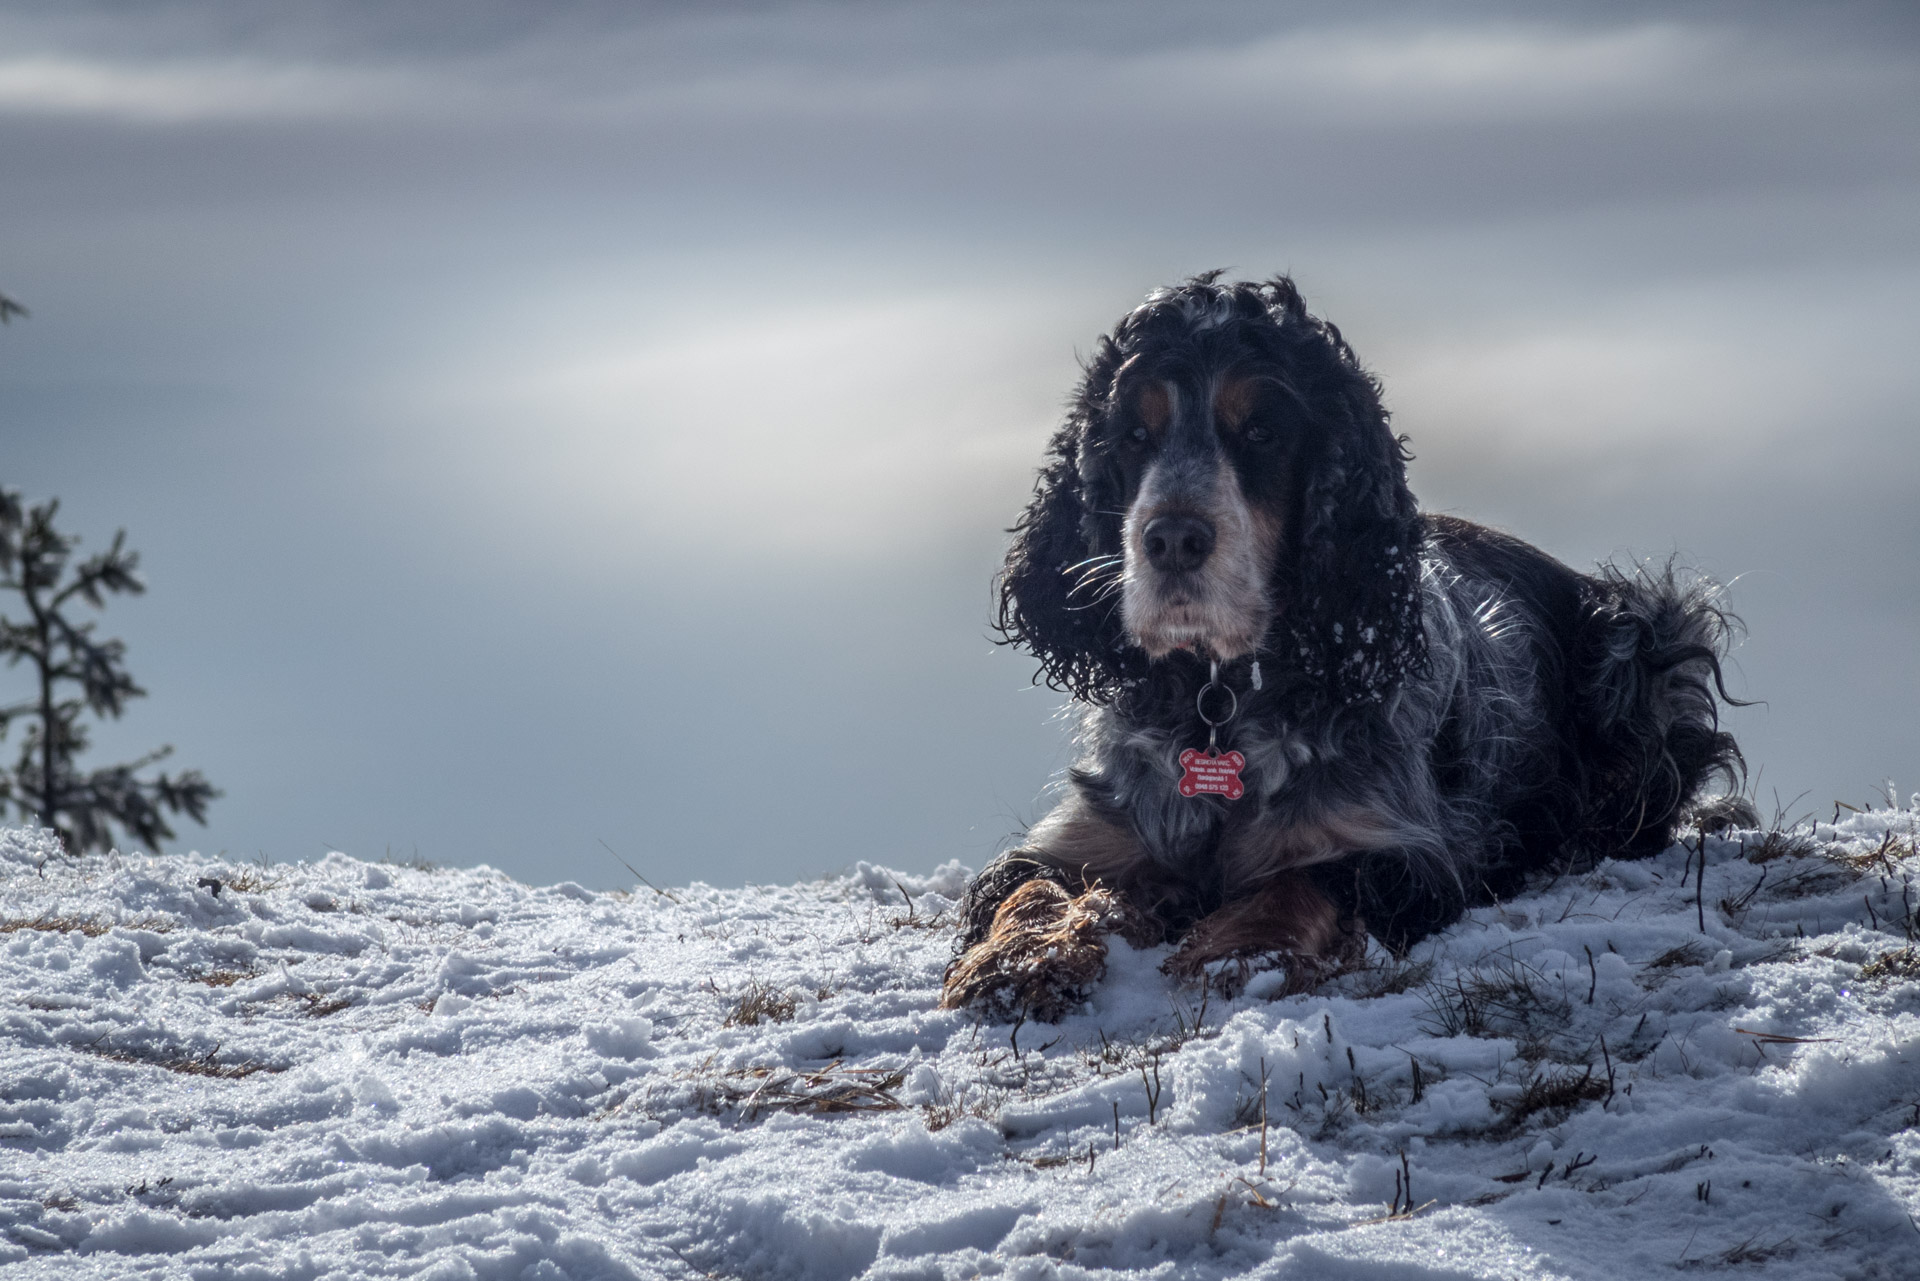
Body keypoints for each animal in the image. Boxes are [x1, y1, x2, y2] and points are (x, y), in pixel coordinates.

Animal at [944, 272, 1743, 1021]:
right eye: (1133, 437)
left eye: (1262, 431)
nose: (1170, 539)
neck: (1221, 697)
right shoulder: (1092, 833)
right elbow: (1028, 884)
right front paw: (1018, 962)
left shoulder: (1406, 849)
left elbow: (1302, 877)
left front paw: (1239, 951)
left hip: (1648, 645)